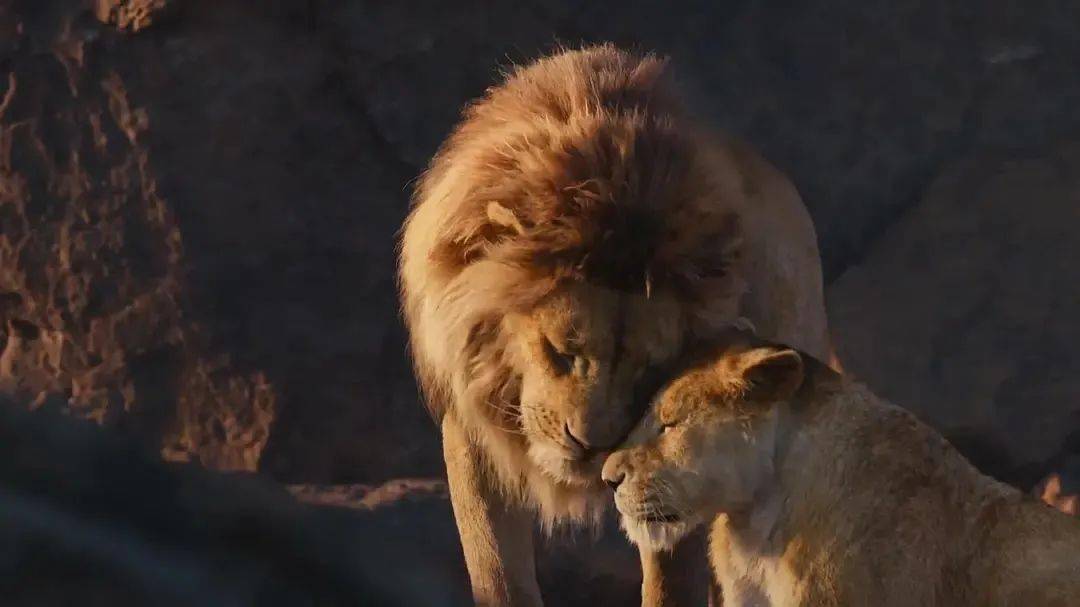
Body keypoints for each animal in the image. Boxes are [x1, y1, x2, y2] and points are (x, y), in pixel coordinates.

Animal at [401, 44, 829, 600]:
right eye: (560, 350)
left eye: (650, 371)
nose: (590, 446)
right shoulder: (471, 423)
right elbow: (496, 570)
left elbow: (671, 582)